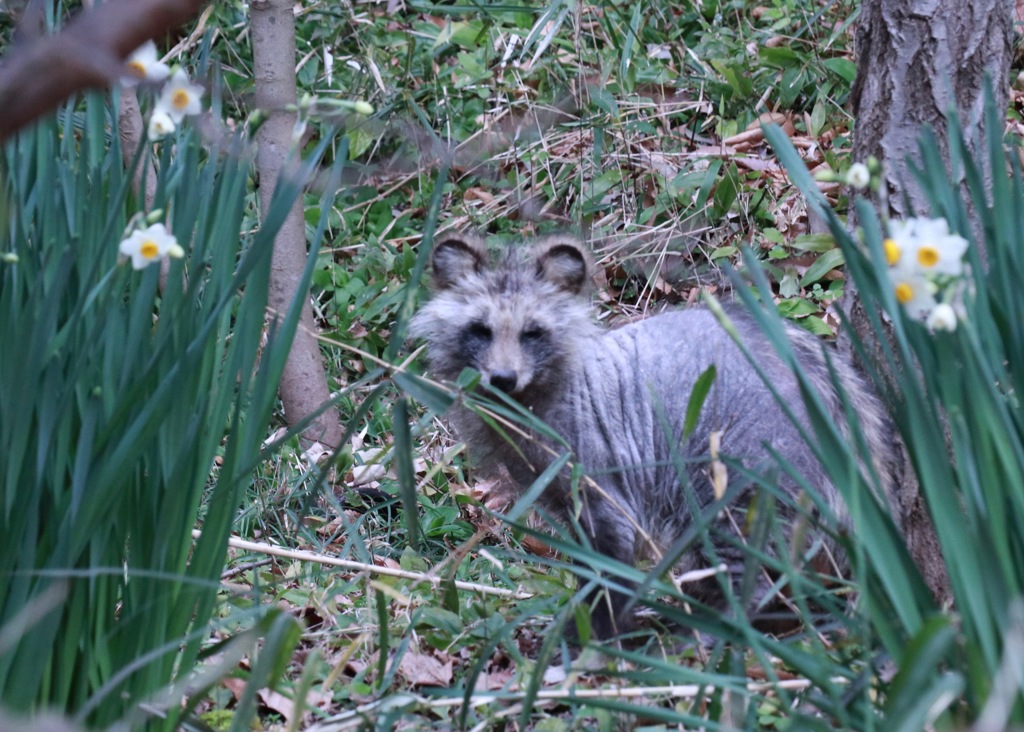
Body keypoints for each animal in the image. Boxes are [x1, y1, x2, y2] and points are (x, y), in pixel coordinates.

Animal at [407, 234, 897, 642]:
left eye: (532, 333)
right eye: (481, 330)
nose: (503, 379)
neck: (530, 397)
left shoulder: (599, 457)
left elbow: (612, 547)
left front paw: (596, 629)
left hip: (748, 452)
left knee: (736, 536)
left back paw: (729, 620)